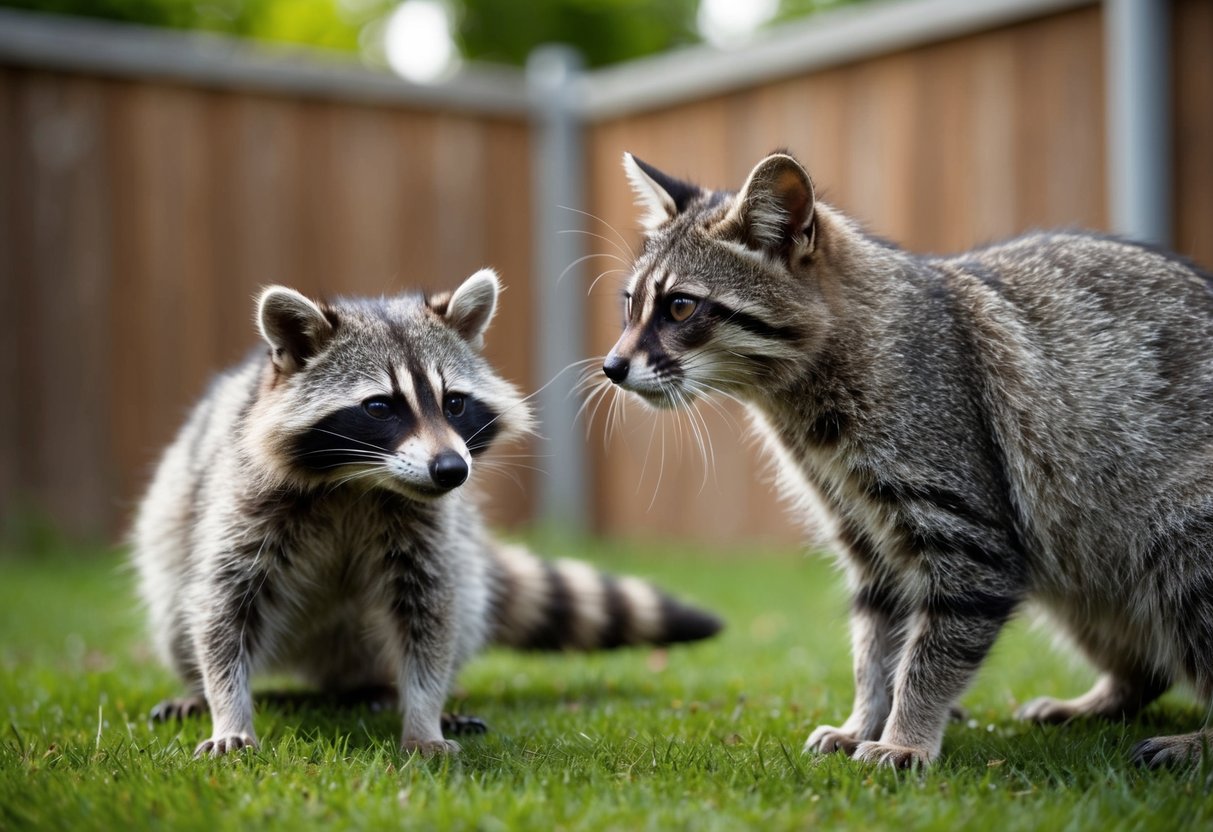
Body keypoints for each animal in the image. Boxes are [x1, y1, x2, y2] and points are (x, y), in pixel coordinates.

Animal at [131, 268, 721, 758]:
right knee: (177, 609)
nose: (451, 470)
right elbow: (223, 609)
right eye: (379, 407)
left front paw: (423, 717)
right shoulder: (247, 503)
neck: (360, 482)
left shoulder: (427, 527)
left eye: (454, 402)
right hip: (174, 521)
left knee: (463, 603)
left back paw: (394, 692)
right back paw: (194, 689)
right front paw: (228, 710)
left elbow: (431, 615)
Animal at [600, 149, 1213, 768]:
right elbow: (875, 641)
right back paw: (1113, 693)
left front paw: (905, 732)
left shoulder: (962, 518)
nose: (612, 366)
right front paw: (866, 716)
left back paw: (1198, 738)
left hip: (1174, 533)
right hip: (1081, 549)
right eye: (631, 304)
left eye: (680, 307)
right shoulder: (862, 527)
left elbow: (933, 650)